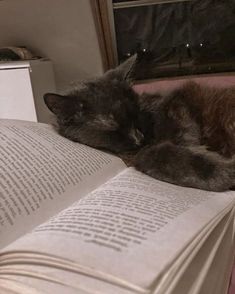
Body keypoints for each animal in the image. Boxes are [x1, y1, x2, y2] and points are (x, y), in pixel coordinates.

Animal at [44, 55, 235, 193]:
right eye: (113, 125)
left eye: (136, 114)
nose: (139, 138)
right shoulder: (142, 155)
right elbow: (164, 157)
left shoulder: (176, 104)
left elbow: (182, 137)